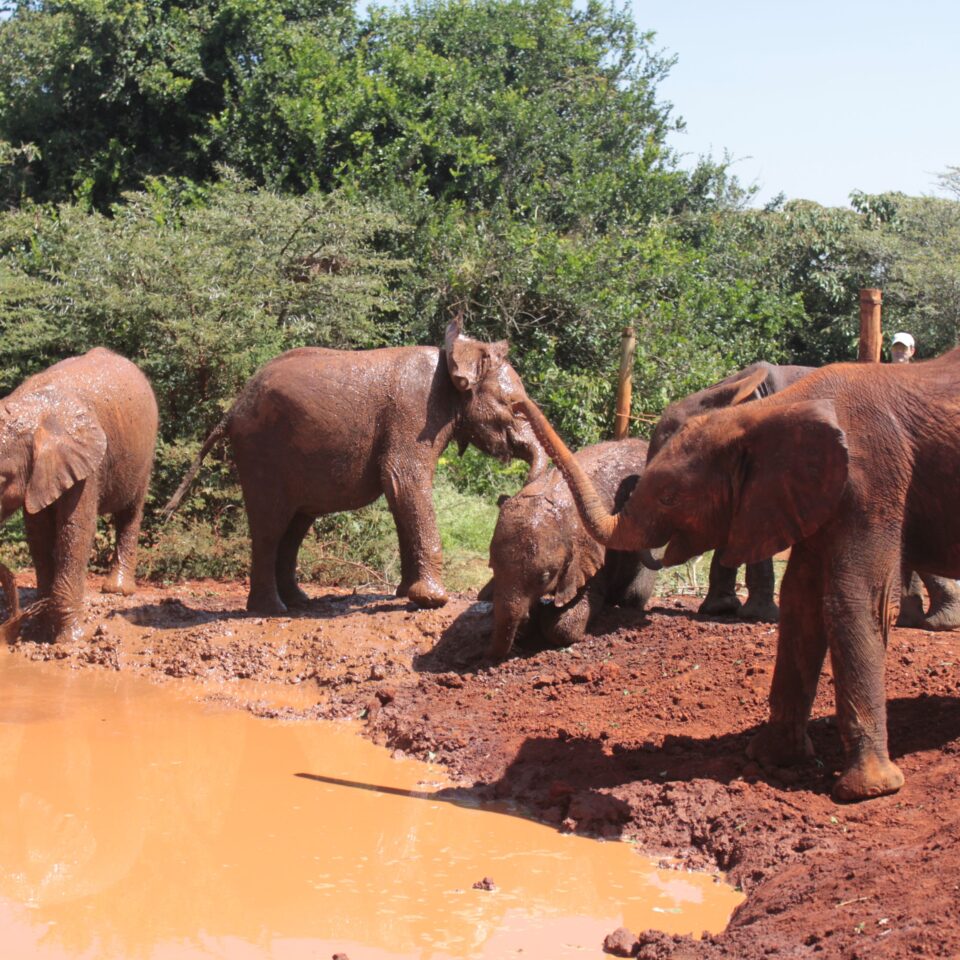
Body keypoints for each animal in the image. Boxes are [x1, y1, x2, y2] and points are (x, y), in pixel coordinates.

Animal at [0, 348, 159, 640]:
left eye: (3, 479)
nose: (12, 624)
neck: (33, 409)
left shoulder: (85, 463)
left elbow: (74, 530)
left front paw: (72, 638)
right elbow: (39, 535)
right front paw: (41, 628)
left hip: (145, 449)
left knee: (130, 512)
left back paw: (117, 590)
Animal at [165, 316, 548, 616]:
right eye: (513, 405)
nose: (507, 496)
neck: (454, 358)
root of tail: (232, 409)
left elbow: (399, 493)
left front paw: (404, 594)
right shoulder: (414, 412)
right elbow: (404, 480)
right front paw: (433, 600)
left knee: (294, 526)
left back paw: (299, 602)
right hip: (262, 450)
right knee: (271, 527)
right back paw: (272, 610)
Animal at [480, 440, 660, 660]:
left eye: (544, 579)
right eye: (492, 568)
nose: (485, 653)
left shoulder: (594, 549)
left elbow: (567, 624)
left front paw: (547, 615)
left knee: (635, 594)